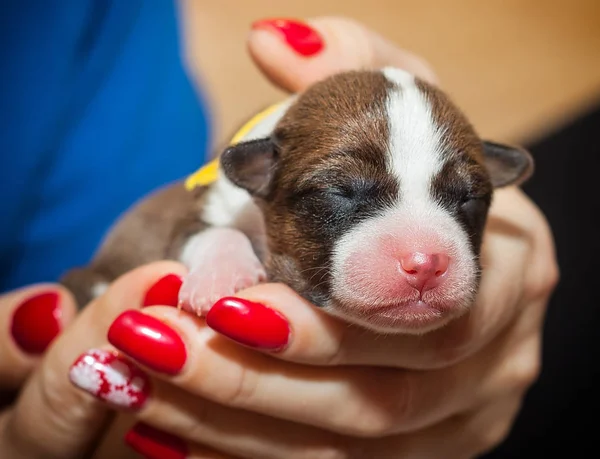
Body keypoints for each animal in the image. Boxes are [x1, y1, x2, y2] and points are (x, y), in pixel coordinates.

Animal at [62, 68, 536, 334]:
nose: (425, 262)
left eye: (468, 199)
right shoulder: (195, 209)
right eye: (339, 192)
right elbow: (209, 233)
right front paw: (222, 276)